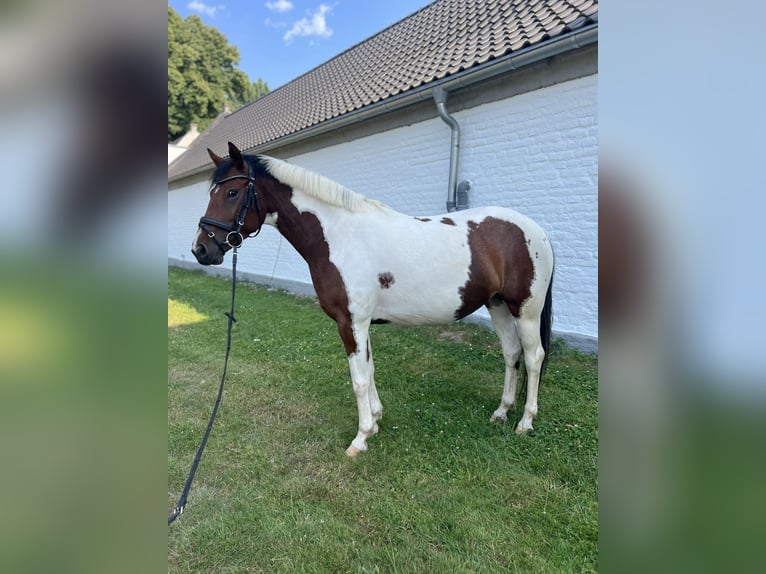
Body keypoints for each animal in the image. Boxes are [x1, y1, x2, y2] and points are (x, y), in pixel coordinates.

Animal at [192, 142, 554, 456]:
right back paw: (501, 413)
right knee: (512, 354)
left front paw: (361, 438)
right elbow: (371, 369)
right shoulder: (362, 323)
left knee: (533, 357)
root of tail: (537, 231)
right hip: (498, 305)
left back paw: (525, 422)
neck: (339, 237)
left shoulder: (350, 323)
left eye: (232, 192)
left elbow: (359, 379)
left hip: (526, 311)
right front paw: (376, 420)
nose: (201, 250)